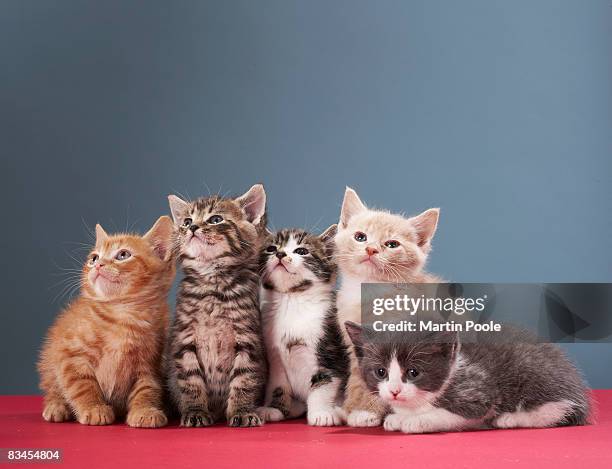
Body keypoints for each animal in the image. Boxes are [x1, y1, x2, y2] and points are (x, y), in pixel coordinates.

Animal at [38, 218, 175, 426]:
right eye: (94, 258)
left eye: (123, 255)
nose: (98, 265)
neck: (123, 315)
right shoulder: (70, 354)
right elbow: (82, 385)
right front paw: (94, 408)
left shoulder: (150, 364)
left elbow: (146, 388)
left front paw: (145, 410)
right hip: (49, 360)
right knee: (53, 387)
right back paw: (56, 406)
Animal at [165, 185, 268, 426]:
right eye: (186, 221)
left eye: (215, 219)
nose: (192, 227)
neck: (212, 284)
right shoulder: (184, 340)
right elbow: (190, 382)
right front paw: (195, 412)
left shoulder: (248, 339)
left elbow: (244, 379)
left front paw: (242, 411)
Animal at [255, 226, 350, 424]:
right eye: (271, 248)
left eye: (302, 251)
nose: (280, 254)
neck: (292, 300)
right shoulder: (275, 357)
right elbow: (277, 386)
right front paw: (274, 409)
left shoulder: (330, 351)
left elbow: (323, 385)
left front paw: (321, 414)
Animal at [334, 187, 444, 428]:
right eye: (360, 237)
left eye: (392, 244)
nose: (371, 249)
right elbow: (359, 377)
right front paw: (351, 408)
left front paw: (367, 411)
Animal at [344, 320, 588, 434]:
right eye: (381, 372)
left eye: (413, 372)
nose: (394, 391)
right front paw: (397, 417)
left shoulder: (477, 391)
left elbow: (451, 414)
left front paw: (415, 420)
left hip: (536, 376)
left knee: (558, 409)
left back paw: (510, 418)